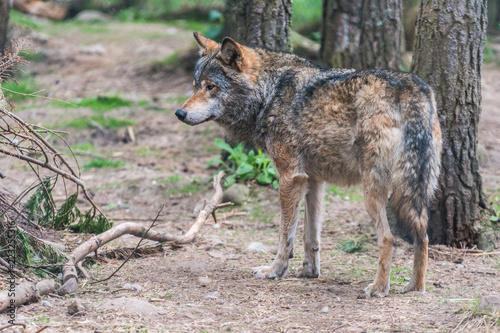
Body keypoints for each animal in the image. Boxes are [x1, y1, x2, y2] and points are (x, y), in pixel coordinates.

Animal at [176, 31, 442, 296]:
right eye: (195, 85)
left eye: (211, 87)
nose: (179, 113)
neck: (269, 94)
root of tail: (412, 88)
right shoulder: (313, 181)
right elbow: (310, 236)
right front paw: (309, 271)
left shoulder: (290, 178)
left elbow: (286, 236)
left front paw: (274, 271)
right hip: (417, 188)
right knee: (423, 235)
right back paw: (415, 286)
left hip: (373, 191)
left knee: (388, 238)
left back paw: (378, 287)